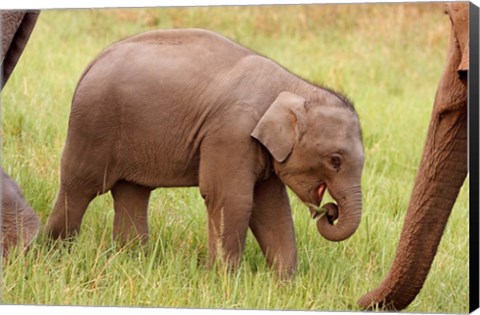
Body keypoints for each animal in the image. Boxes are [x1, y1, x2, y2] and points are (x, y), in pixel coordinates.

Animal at [47, 29, 366, 276]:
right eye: (335, 161)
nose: (329, 212)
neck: (294, 86)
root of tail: (93, 62)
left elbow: (272, 207)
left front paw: (285, 283)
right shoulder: (231, 133)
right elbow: (231, 198)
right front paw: (226, 280)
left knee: (132, 191)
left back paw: (131, 260)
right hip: (93, 122)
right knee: (81, 186)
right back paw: (54, 252)